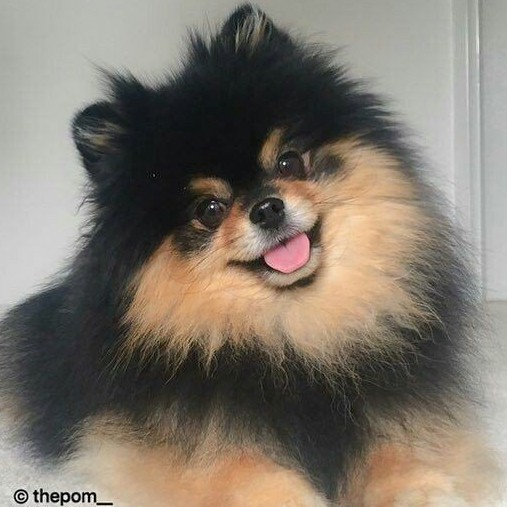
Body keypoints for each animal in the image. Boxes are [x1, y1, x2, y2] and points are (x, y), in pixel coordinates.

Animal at [0, 4, 500, 506]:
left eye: (288, 161)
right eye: (209, 209)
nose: (267, 208)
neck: (292, 331)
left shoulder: (393, 413)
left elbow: (401, 455)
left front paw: (427, 493)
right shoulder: (178, 451)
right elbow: (254, 477)